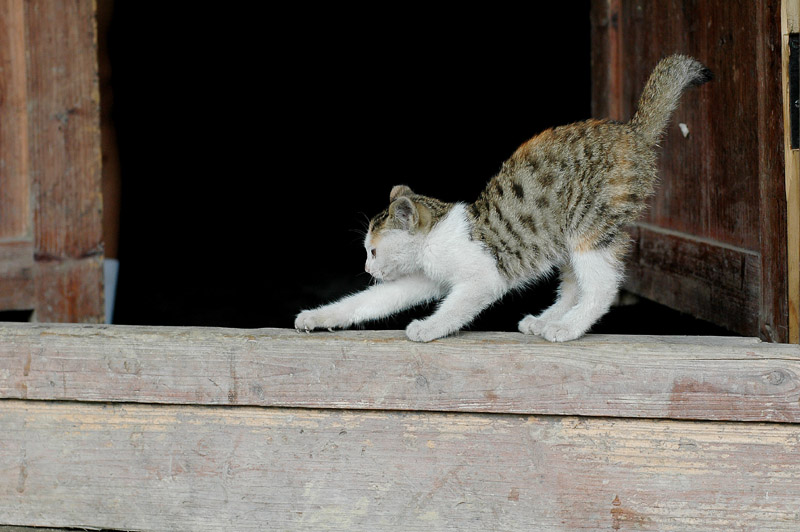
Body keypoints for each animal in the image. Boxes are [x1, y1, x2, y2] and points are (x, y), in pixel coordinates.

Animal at [294, 55, 712, 344]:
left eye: (373, 251)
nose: (368, 269)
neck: (433, 240)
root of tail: (632, 131)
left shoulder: (482, 276)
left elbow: (457, 305)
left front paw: (429, 327)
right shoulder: (420, 278)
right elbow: (368, 302)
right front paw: (317, 317)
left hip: (588, 222)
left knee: (602, 286)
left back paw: (568, 327)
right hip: (563, 233)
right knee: (574, 283)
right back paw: (547, 320)